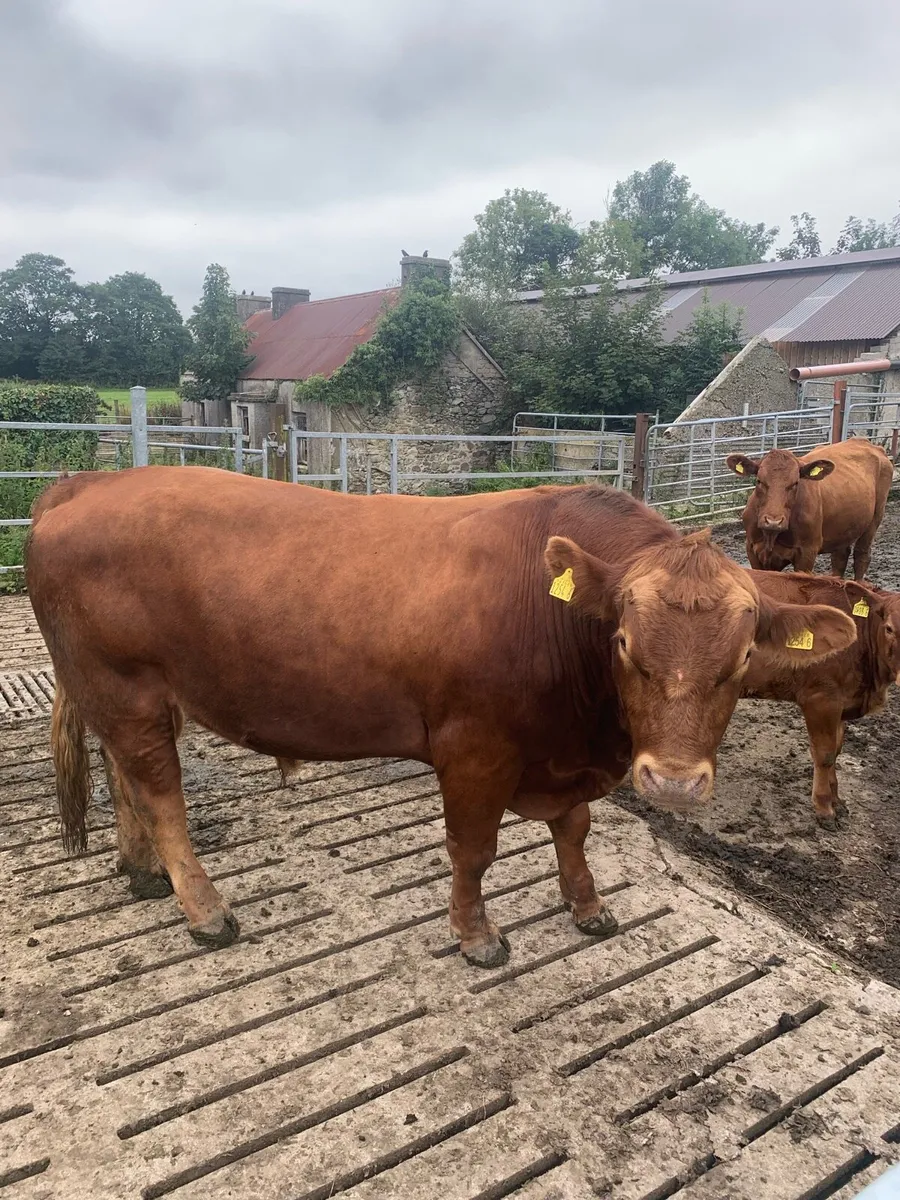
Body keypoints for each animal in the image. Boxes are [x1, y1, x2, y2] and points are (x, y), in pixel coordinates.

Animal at [25, 468, 856, 967]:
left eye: (743, 658)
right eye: (622, 641)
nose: (675, 783)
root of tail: (89, 483)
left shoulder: (565, 754)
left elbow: (575, 829)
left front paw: (587, 906)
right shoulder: (476, 752)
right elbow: (474, 851)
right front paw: (477, 935)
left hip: (122, 695)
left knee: (123, 778)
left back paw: (142, 872)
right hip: (127, 687)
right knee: (160, 793)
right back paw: (205, 909)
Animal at [726, 438, 892, 579]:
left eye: (795, 483)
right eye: (759, 481)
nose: (773, 522)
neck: (771, 536)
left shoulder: (807, 553)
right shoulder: (752, 549)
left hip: (875, 519)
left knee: (861, 556)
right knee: (840, 557)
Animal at [742, 571, 900, 829]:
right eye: (889, 628)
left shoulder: (842, 702)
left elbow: (837, 750)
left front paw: (837, 800)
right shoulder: (821, 699)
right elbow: (825, 754)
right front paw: (824, 807)